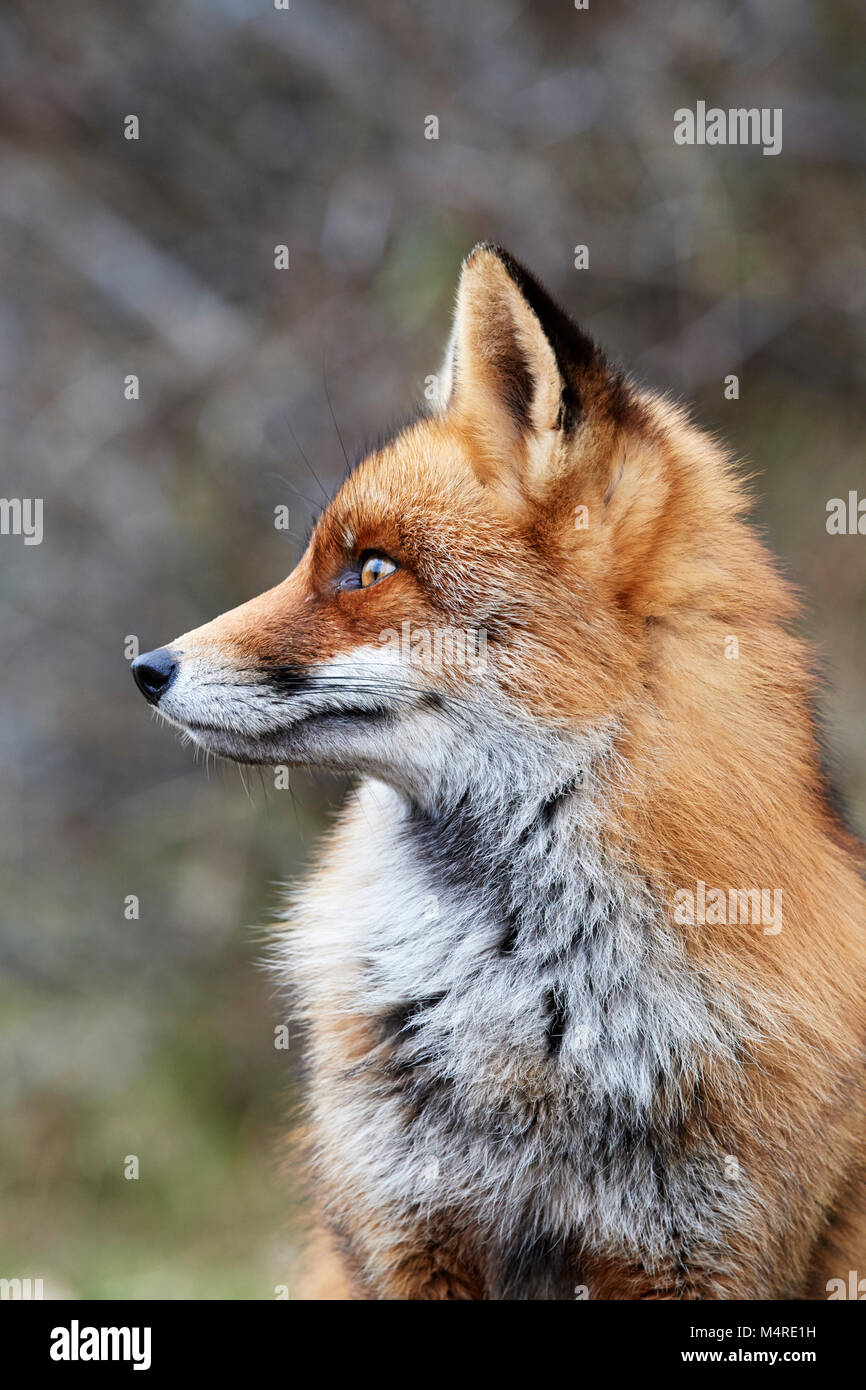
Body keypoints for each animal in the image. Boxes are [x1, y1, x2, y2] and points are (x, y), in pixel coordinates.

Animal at [132, 244, 866, 1300]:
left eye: (370, 569)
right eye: (322, 559)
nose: (146, 669)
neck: (529, 1009)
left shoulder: (696, 1255)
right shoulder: (409, 1235)